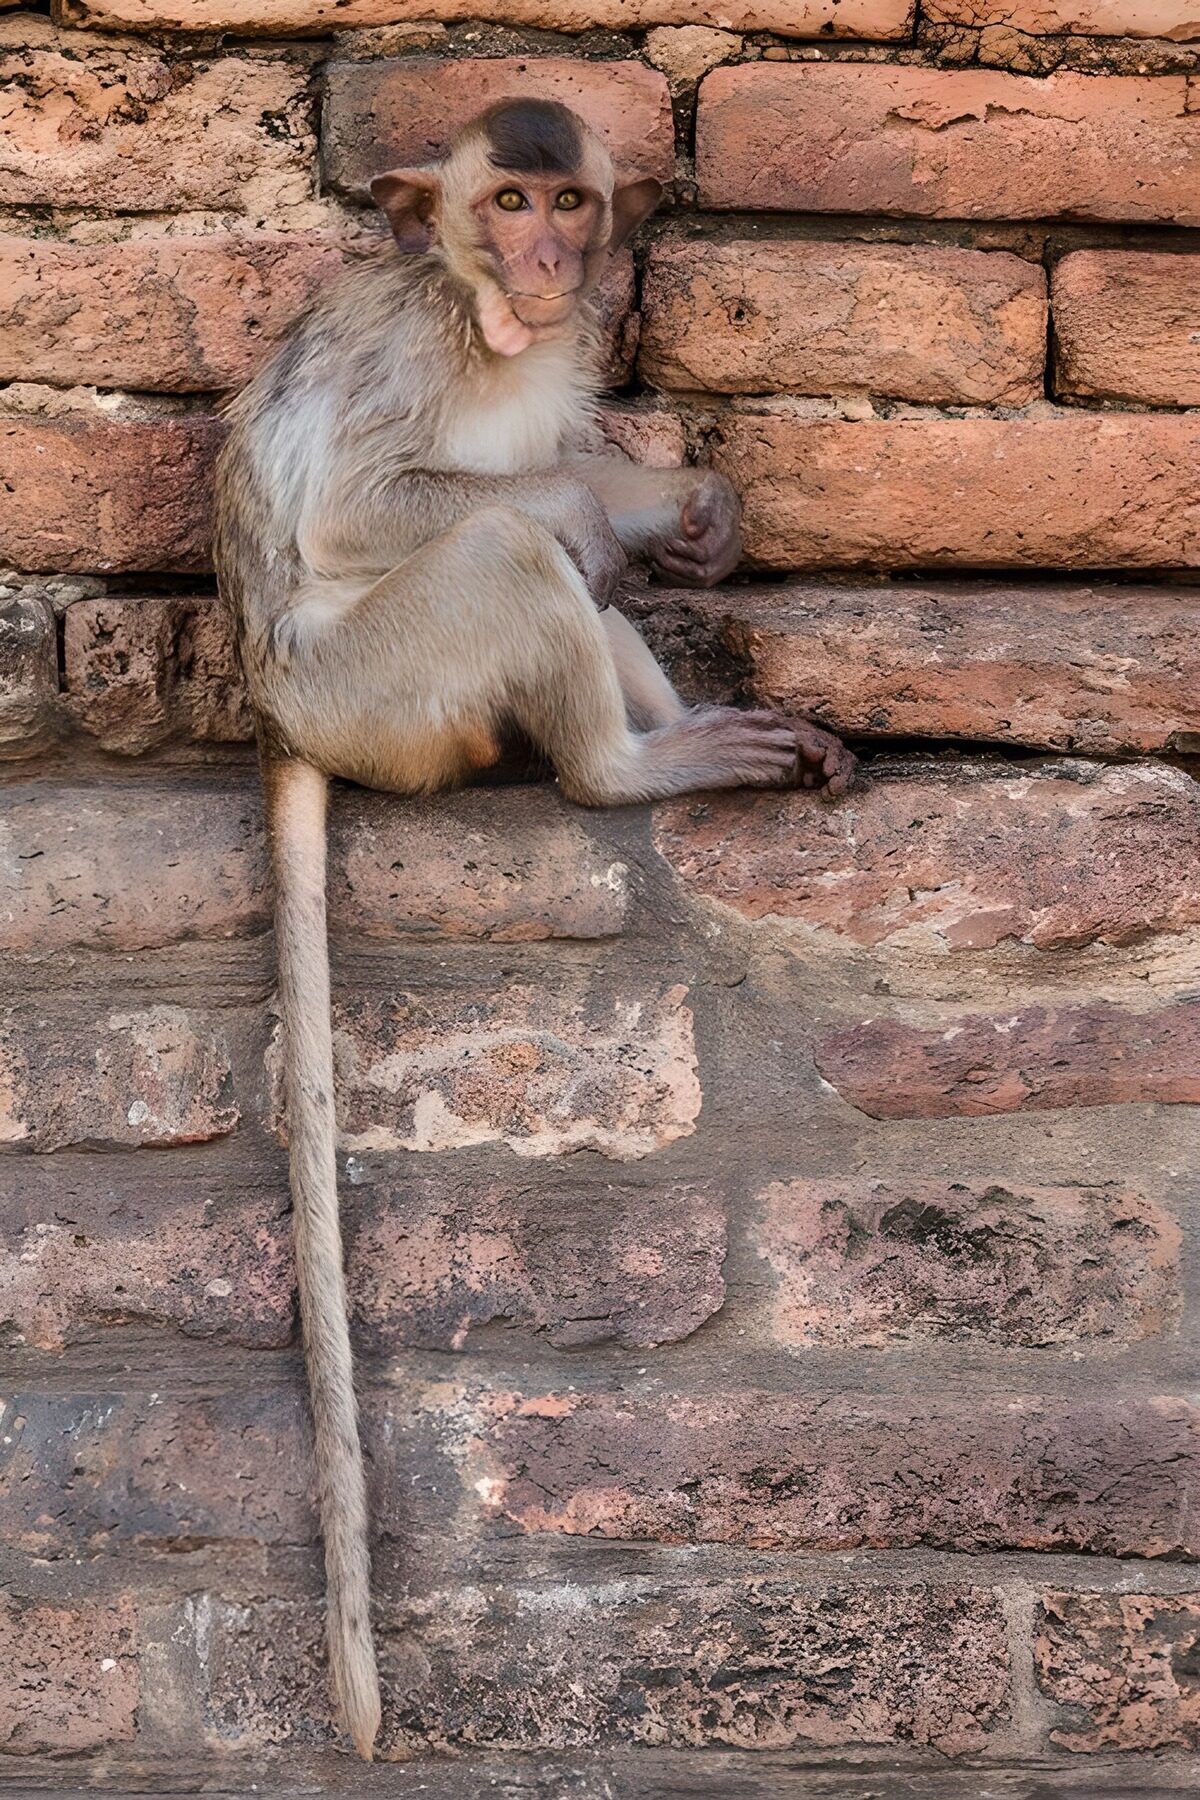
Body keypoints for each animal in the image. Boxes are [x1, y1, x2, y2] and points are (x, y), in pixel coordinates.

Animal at [214, 96, 855, 1760]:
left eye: (570, 203)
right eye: (507, 203)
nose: (553, 264)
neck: (485, 320)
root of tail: (273, 711)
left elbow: (577, 450)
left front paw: (693, 509)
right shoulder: (411, 350)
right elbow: (378, 501)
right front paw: (614, 512)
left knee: (569, 571)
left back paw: (689, 720)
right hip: (380, 688)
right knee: (511, 553)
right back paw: (626, 762)